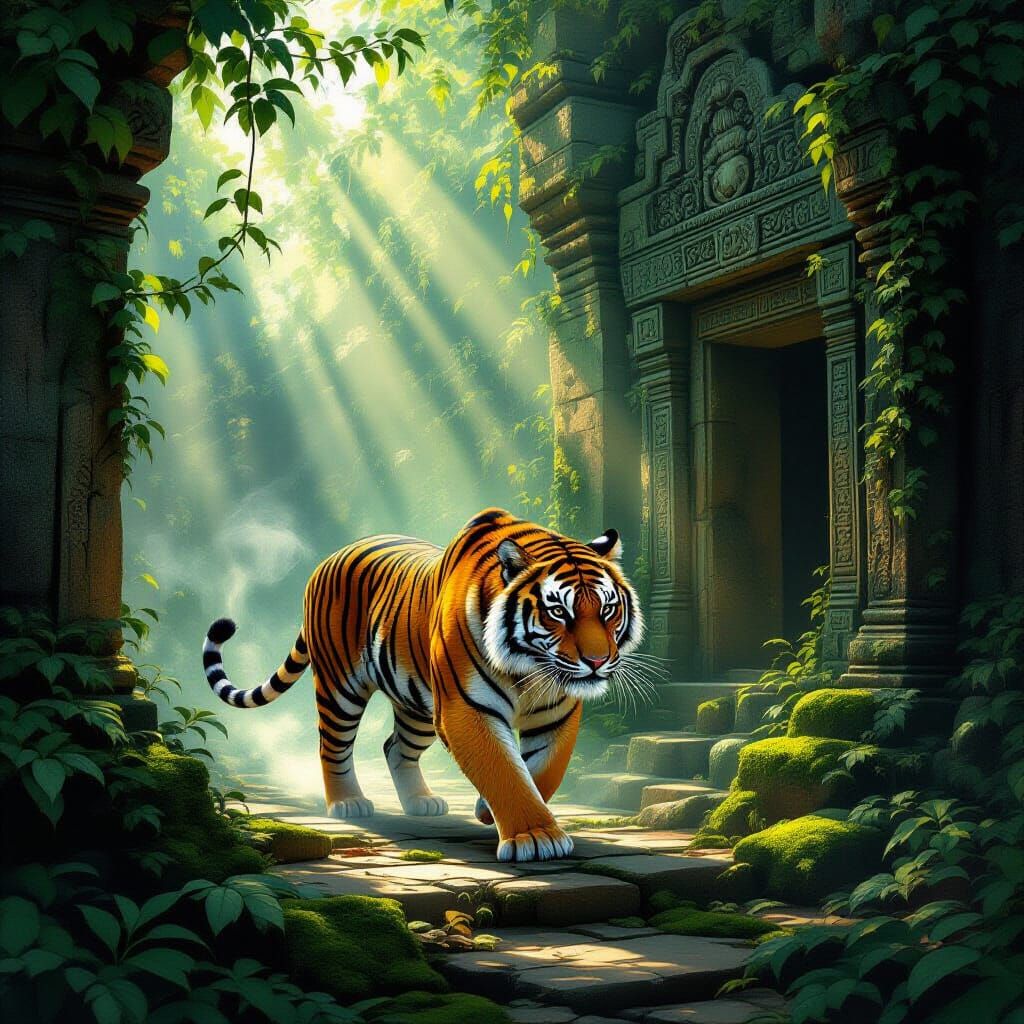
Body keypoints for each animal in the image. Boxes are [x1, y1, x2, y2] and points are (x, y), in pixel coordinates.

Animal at [201, 508, 645, 862]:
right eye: (558, 612)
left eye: (607, 609)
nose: (597, 661)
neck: (528, 668)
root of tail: (327, 559)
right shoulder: (466, 709)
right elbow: (503, 768)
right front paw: (536, 838)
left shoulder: (557, 713)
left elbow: (544, 771)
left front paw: (489, 810)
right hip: (340, 688)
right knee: (333, 746)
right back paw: (348, 803)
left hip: (418, 705)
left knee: (395, 747)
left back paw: (420, 803)